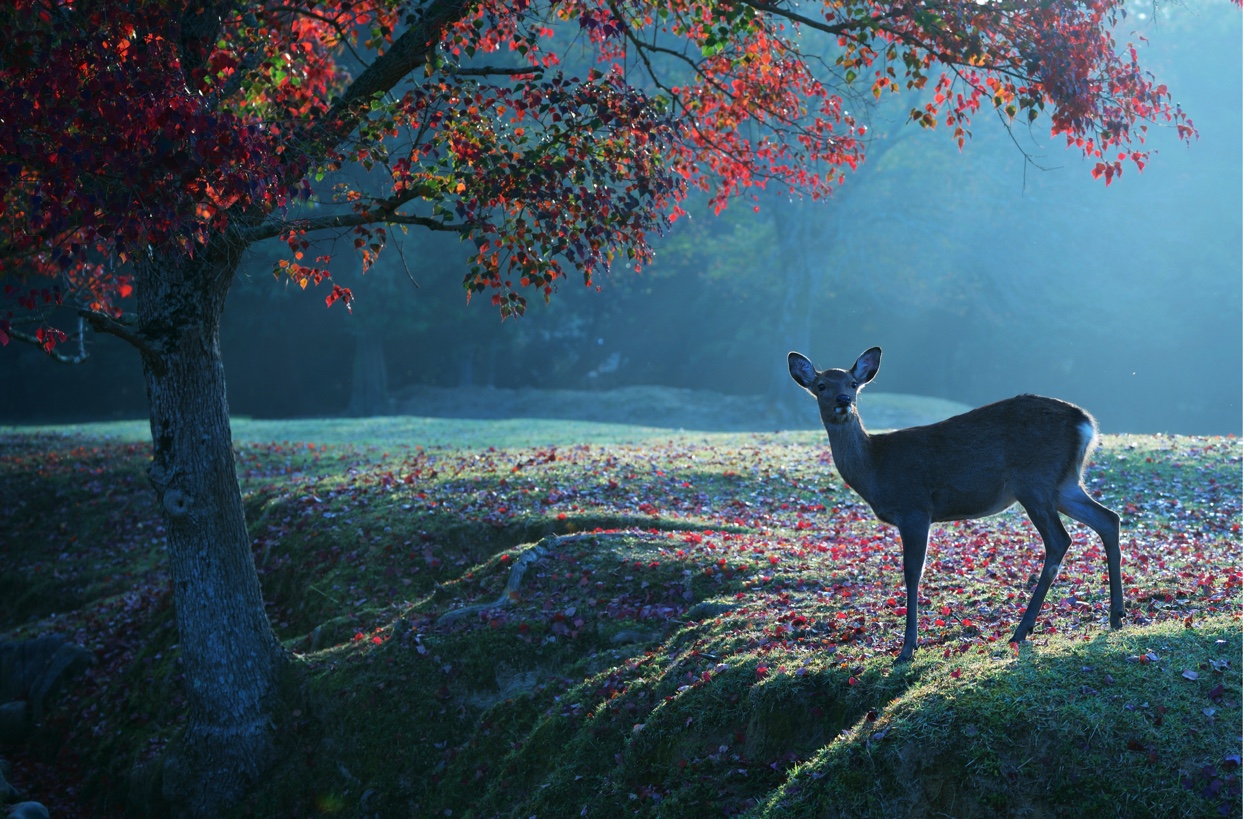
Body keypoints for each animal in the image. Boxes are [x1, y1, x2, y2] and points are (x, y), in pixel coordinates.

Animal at [786, 348, 1129, 662]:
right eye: (821, 385)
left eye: (853, 382)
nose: (844, 399)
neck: (875, 469)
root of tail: (1086, 424)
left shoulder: (915, 508)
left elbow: (913, 571)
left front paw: (907, 648)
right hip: (1064, 483)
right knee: (1108, 519)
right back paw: (1116, 616)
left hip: (1034, 481)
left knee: (1060, 539)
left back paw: (1022, 630)